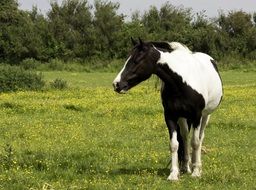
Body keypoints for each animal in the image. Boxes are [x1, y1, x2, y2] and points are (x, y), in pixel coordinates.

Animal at [112, 37, 222, 180]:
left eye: (137, 60)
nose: (116, 84)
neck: (182, 83)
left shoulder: (197, 116)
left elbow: (196, 142)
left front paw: (196, 172)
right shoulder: (170, 116)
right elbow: (175, 144)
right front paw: (174, 174)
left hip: (205, 116)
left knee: (199, 138)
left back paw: (196, 166)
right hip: (182, 118)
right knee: (185, 137)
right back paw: (186, 167)